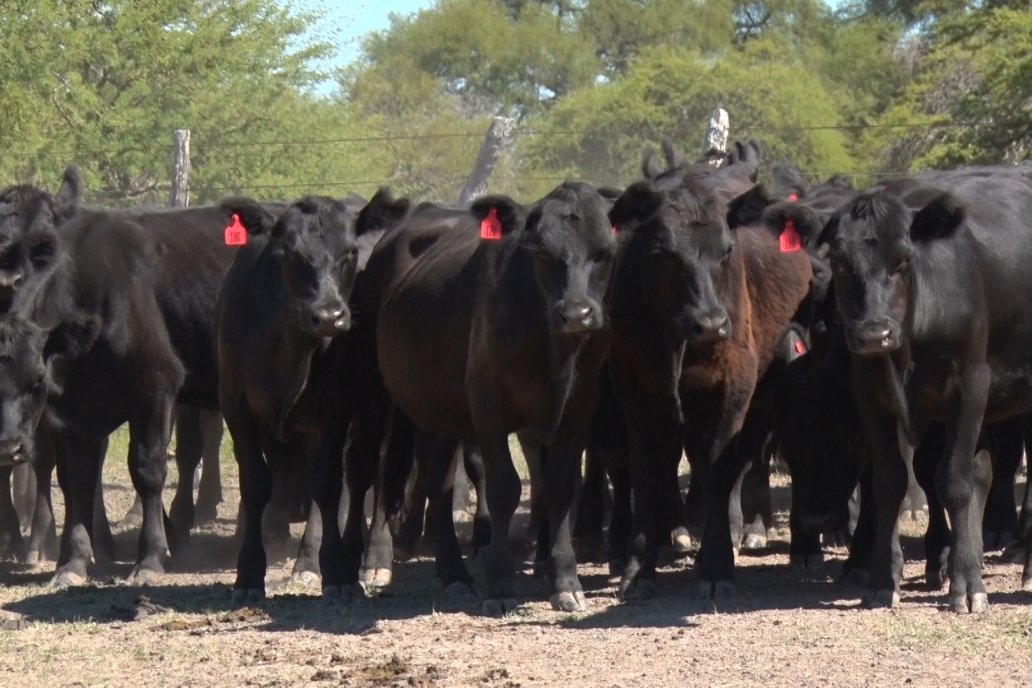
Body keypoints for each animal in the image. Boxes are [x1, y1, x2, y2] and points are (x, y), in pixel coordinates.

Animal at [359, 181, 615, 614]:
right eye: (542, 252)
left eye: (604, 253)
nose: (577, 313)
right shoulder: (489, 410)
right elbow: (504, 488)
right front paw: (499, 583)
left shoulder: (577, 412)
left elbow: (561, 487)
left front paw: (566, 581)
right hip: (383, 395)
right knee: (383, 469)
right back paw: (377, 561)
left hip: (438, 408)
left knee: (438, 483)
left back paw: (454, 574)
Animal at [817, 169, 1032, 610]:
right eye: (840, 264)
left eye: (903, 260)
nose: (874, 333)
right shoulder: (872, 395)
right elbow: (889, 482)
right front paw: (884, 578)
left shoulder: (971, 387)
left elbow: (954, 481)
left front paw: (966, 583)